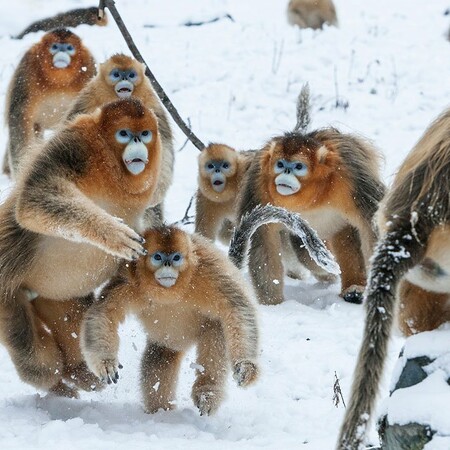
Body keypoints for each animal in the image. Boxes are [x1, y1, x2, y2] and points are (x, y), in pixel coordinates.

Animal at [80, 227, 256, 416]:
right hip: (168, 342)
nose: (167, 265)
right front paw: (106, 363)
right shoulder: (128, 278)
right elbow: (103, 314)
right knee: (159, 358)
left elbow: (239, 308)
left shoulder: (210, 271)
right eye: (158, 257)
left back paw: (208, 392)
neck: (170, 291)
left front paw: (246, 367)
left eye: (176, 258)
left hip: (213, 325)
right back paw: (161, 411)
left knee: (216, 340)